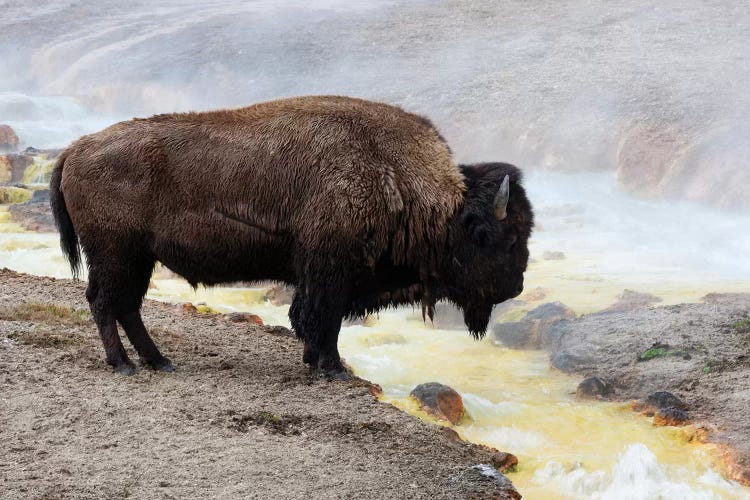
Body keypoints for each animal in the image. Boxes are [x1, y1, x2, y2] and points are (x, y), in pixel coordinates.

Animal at [51, 95, 536, 378]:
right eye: (500, 237)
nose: (515, 287)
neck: (398, 178)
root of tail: (75, 148)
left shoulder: (329, 275)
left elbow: (322, 321)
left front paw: (316, 362)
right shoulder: (330, 273)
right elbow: (323, 320)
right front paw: (333, 369)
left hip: (138, 258)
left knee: (126, 306)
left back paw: (159, 361)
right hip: (116, 254)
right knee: (105, 302)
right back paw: (123, 365)